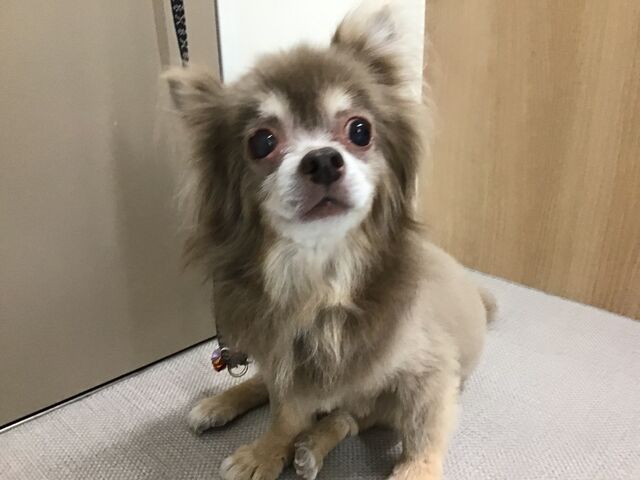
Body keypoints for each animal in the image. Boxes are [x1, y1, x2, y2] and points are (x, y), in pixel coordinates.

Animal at [165, 3, 494, 479]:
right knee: (270, 384)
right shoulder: (290, 358)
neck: (322, 280)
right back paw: (221, 405)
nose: (322, 160)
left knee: (346, 419)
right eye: (262, 141)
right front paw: (265, 453)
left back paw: (310, 448)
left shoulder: (428, 376)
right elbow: (284, 414)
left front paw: (412, 469)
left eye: (359, 130)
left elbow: (422, 434)